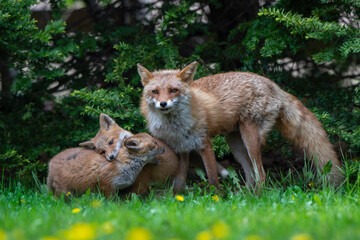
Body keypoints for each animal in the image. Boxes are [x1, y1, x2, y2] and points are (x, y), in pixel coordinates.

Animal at [137, 61, 344, 189]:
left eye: (173, 90)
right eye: (155, 92)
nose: (163, 104)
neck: (174, 127)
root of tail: (273, 85)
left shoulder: (204, 144)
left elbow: (213, 178)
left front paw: (216, 199)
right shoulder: (181, 149)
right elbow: (179, 183)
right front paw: (176, 199)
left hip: (249, 136)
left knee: (261, 175)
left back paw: (257, 200)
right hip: (236, 144)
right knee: (251, 175)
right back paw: (246, 198)